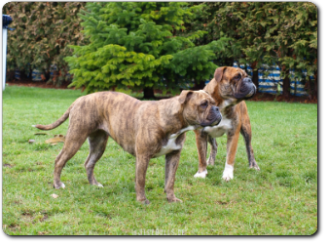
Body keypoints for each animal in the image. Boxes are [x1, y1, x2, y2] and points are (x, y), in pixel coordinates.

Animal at [32, 90, 220, 204]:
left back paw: (94, 184)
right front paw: (142, 201)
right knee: (59, 160)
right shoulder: (143, 156)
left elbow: (170, 181)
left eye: (214, 102)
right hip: (75, 138)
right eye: (204, 104)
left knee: (88, 163)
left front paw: (171, 199)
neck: (172, 120)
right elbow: (141, 180)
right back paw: (58, 185)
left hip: (99, 144)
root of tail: (79, 100)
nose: (218, 109)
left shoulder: (173, 156)